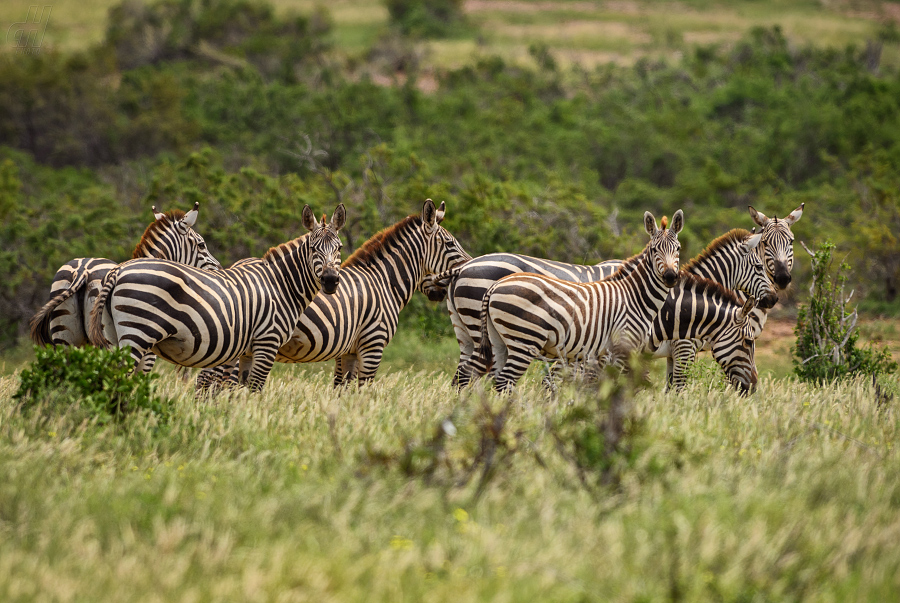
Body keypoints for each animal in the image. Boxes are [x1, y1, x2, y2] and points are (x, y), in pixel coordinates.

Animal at [88, 203, 346, 392]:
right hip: (137, 334)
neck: (281, 285)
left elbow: (240, 391)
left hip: (114, 336)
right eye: (313, 248)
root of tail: (118, 270)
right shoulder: (267, 341)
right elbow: (255, 389)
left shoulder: (248, 350)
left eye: (340, 248)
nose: (331, 280)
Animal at [203, 198, 472, 386]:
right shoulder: (372, 344)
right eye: (450, 244)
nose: (469, 267)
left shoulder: (348, 351)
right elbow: (363, 392)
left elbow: (342, 392)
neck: (383, 281)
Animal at [472, 210, 684, 394]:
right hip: (524, 340)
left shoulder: (605, 353)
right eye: (654, 249)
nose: (670, 277)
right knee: (504, 381)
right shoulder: (623, 346)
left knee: (495, 378)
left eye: (678, 249)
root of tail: (495, 286)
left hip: (498, 341)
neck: (635, 297)